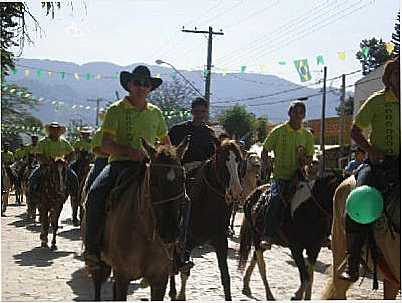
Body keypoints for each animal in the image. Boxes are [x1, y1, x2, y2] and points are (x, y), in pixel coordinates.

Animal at [83, 139, 190, 302]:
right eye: (153, 181)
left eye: (182, 179)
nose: (169, 232)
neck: (145, 233)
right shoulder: (122, 276)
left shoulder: (160, 279)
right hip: (100, 264)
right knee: (97, 284)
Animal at [169, 140, 243, 302]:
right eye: (221, 160)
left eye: (239, 161)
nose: (235, 191)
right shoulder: (187, 242)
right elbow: (184, 272)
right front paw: (180, 295)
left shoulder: (221, 242)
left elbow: (225, 277)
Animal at [237, 173, 344, 302]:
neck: (309, 208)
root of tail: (252, 194)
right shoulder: (296, 248)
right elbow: (305, 277)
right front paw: (297, 295)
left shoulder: (314, 248)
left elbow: (310, 277)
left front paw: (302, 296)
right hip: (256, 237)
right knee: (262, 265)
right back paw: (269, 295)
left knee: (256, 257)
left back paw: (246, 285)